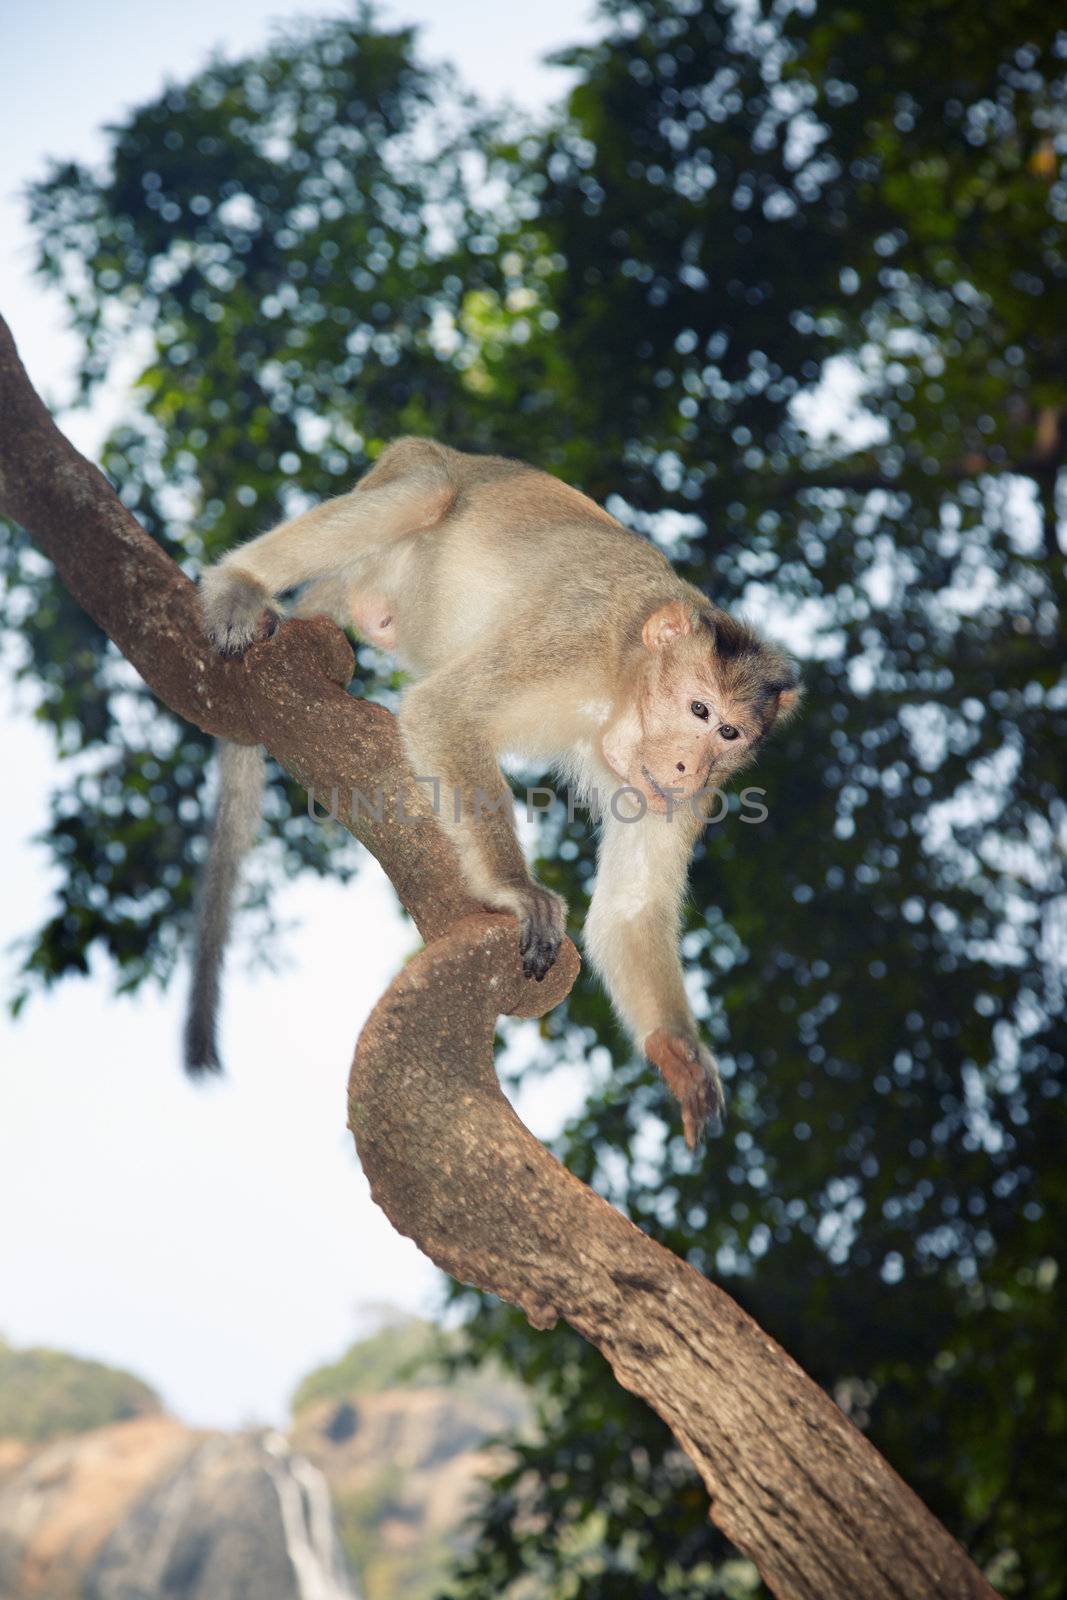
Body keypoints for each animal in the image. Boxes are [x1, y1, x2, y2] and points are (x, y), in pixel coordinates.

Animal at [187, 432, 796, 1145]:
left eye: (728, 733)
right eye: (698, 710)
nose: (685, 769)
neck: (621, 685)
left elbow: (627, 913)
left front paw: (680, 1055)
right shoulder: (572, 637)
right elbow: (446, 712)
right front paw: (516, 890)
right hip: (401, 487)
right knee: (430, 490)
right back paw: (241, 580)